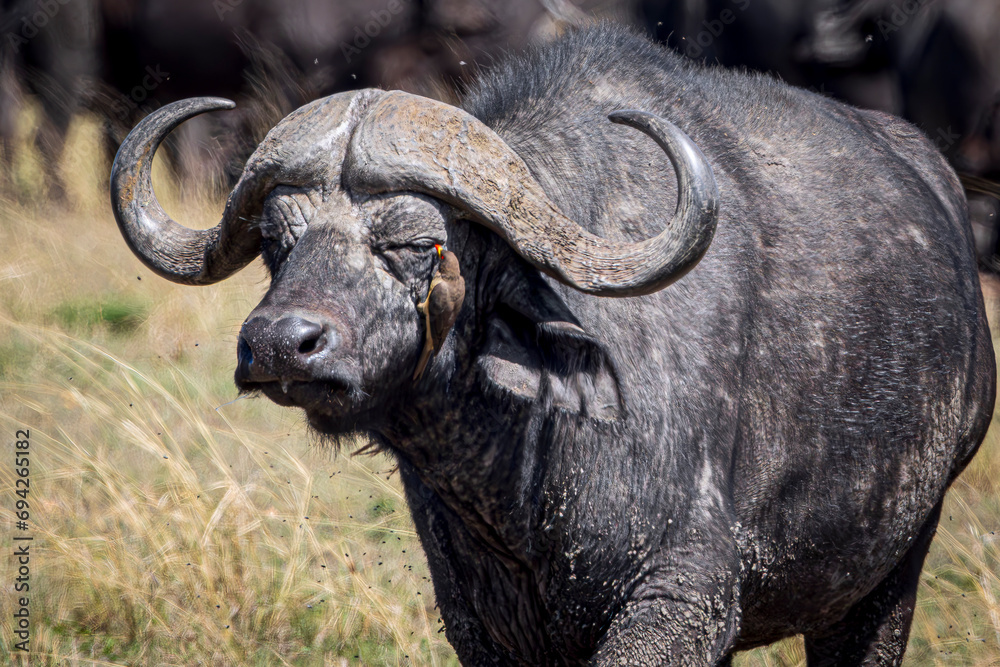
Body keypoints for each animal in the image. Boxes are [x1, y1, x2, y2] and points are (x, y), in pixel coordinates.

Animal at [110, 23, 995, 665]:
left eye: (418, 243)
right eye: (274, 243)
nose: (280, 344)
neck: (523, 469)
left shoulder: (681, 603)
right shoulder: (482, 625)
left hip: (890, 571)